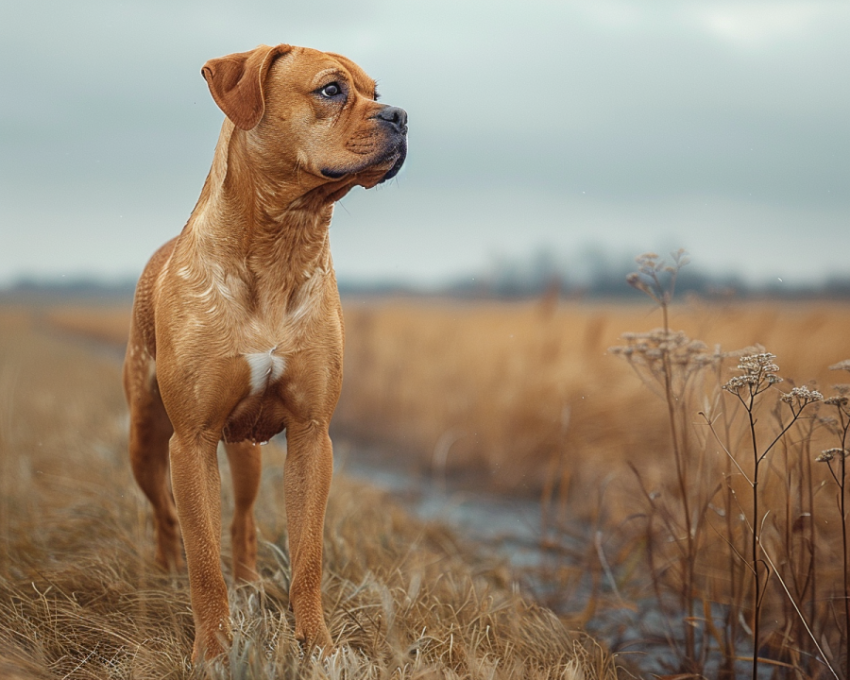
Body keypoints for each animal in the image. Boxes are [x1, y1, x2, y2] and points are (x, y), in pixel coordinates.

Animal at [121, 42, 408, 660]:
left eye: (376, 91)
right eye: (332, 89)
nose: (400, 116)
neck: (284, 241)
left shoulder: (311, 435)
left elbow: (307, 555)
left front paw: (318, 644)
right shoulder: (192, 441)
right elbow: (203, 561)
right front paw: (212, 652)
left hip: (246, 453)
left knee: (245, 520)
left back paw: (250, 582)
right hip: (144, 437)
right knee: (163, 514)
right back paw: (161, 575)